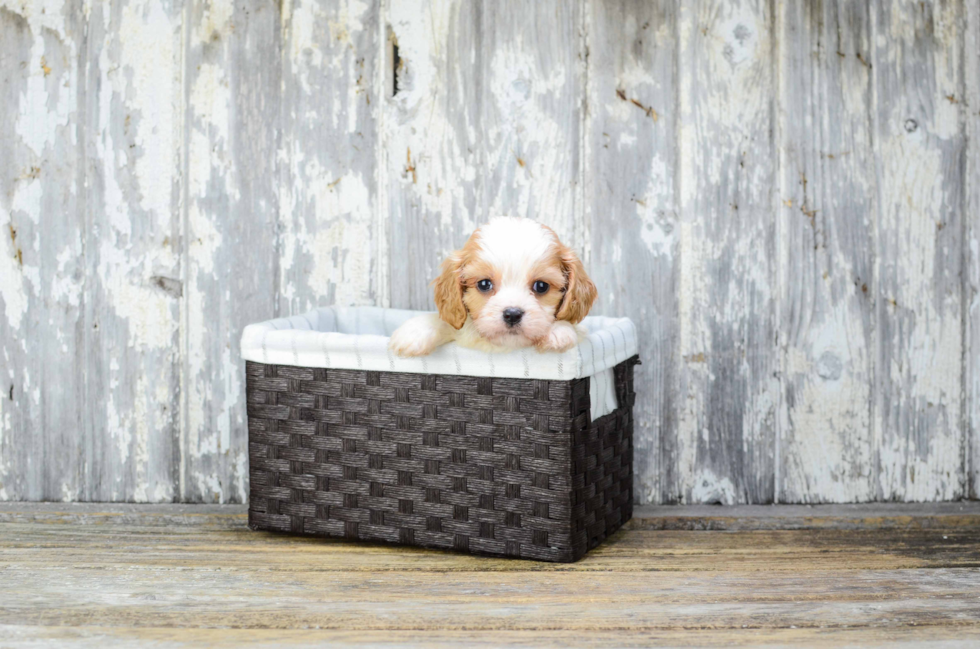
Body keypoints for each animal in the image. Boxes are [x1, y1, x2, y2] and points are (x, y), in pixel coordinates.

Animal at [390, 218, 596, 360]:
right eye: (484, 284)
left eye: (541, 286)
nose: (512, 314)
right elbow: (444, 322)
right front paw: (414, 332)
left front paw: (558, 331)